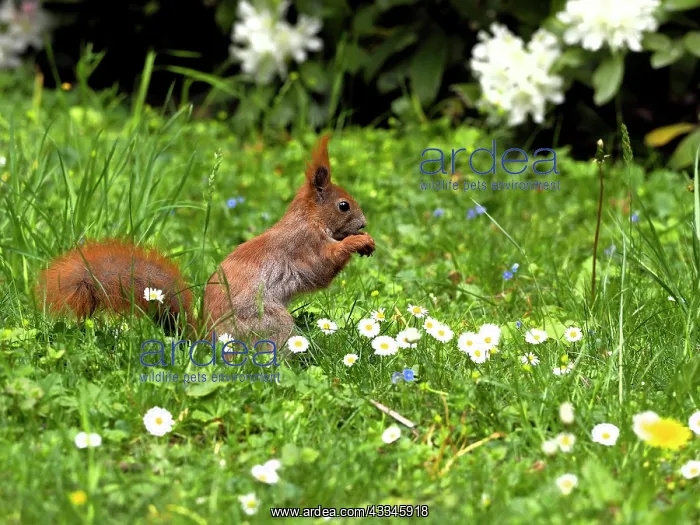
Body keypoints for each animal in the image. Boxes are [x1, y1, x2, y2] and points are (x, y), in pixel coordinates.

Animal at [36, 135, 375, 353]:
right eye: (343, 205)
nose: (363, 224)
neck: (310, 219)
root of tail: (206, 338)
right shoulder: (303, 246)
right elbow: (321, 269)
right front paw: (358, 242)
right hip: (269, 323)